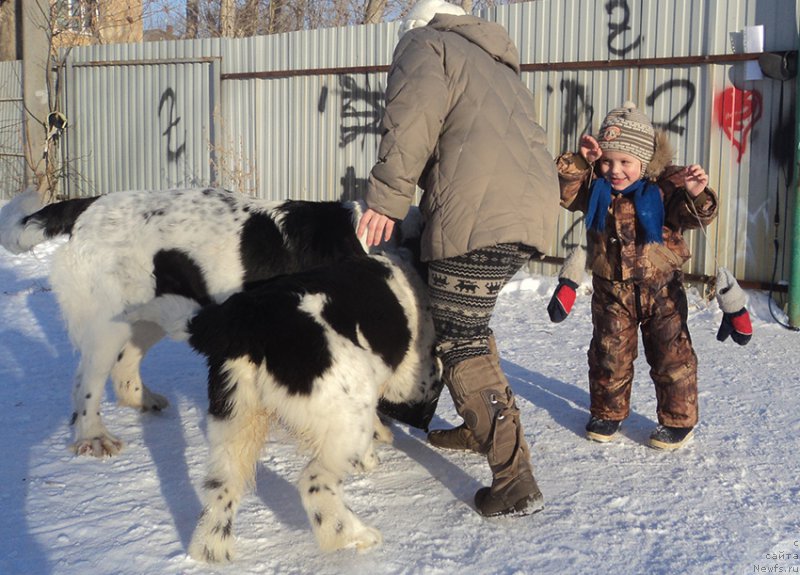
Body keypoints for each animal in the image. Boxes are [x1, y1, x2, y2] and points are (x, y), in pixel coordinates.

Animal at [0, 189, 368, 460]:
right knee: (85, 381)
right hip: (107, 324)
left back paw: (142, 399)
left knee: (124, 366)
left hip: (147, 314)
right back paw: (94, 436)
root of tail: (87, 206)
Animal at [133, 253, 444, 564]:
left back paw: (211, 552)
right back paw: (351, 535)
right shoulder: (414, 377)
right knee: (313, 481)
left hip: (235, 420)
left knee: (221, 488)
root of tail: (245, 320)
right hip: (347, 415)